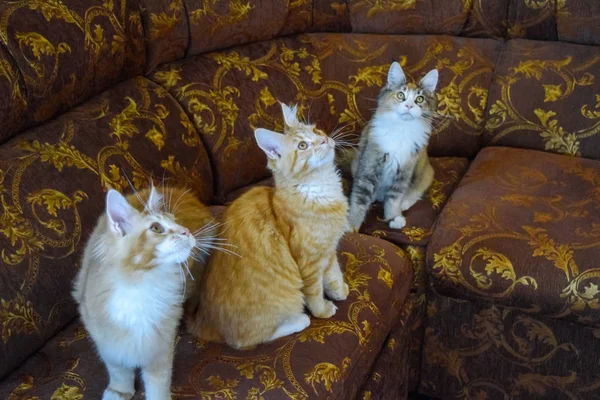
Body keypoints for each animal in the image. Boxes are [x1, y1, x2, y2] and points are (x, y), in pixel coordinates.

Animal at [73, 187, 213, 400]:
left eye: (176, 221)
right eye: (156, 228)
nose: (186, 231)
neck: (142, 285)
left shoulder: (159, 345)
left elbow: (158, 383)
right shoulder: (107, 341)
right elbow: (118, 370)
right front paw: (120, 391)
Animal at [185, 103, 350, 350]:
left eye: (316, 130)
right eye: (302, 145)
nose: (324, 139)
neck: (321, 190)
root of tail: (202, 321)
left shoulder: (328, 248)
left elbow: (333, 274)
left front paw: (340, 291)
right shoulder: (309, 262)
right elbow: (315, 292)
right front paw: (322, 310)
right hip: (283, 301)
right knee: (248, 340)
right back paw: (299, 320)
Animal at [346, 61, 436, 231]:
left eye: (419, 99)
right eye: (401, 95)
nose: (409, 106)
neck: (401, 129)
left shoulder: (403, 172)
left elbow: (394, 199)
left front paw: (393, 217)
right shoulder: (369, 166)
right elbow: (359, 200)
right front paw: (352, 227)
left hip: (425, 171)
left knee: (416, 189)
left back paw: (405, 203)